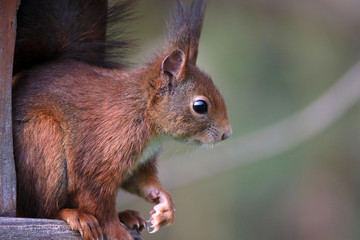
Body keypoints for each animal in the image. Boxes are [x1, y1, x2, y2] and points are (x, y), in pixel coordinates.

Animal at [11, 0, 232, 239]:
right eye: (200, 106)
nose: (226, 133)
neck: (142, 114)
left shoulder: (139, 162)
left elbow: (141, 181)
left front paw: (165, 204)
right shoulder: (102, 150)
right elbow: (96, 196)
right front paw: (116, 230)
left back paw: (127, 216)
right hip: (43, 141)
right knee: (43, 211)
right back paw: (75, 215)